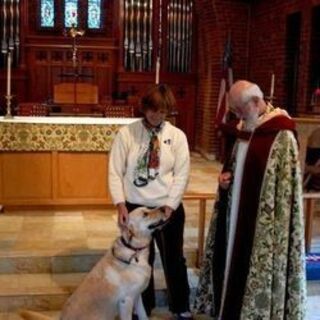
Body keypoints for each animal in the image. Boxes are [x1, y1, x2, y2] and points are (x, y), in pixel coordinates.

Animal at [19, 208, 166, 320]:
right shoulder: (126, 301)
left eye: (149, 208)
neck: (135, 250)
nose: (164, 208)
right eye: (145, 214)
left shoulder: (137, 295)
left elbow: (143, 315)